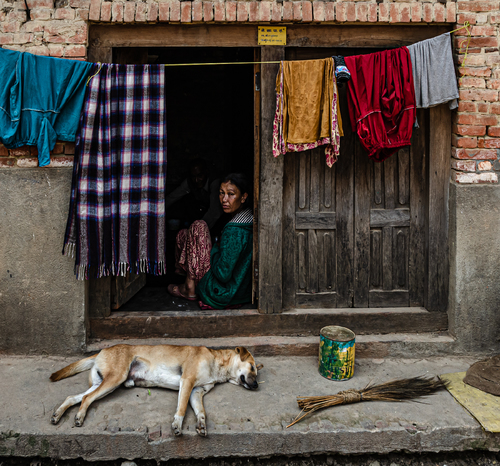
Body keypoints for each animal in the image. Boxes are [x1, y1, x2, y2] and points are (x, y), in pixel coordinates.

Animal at [49, 342, 264, 436]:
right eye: (252, 367)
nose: (255, 386)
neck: (217, 363)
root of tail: (102, 350)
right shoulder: (187, 381)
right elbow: (181, 408)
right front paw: (177, 425)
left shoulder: (197, 392)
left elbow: (201, 411)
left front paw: (202, 424)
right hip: (115, 379)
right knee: (87, 399)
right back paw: (79, 416)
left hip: (103, 383)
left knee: (73, 397)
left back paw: (58, 414)